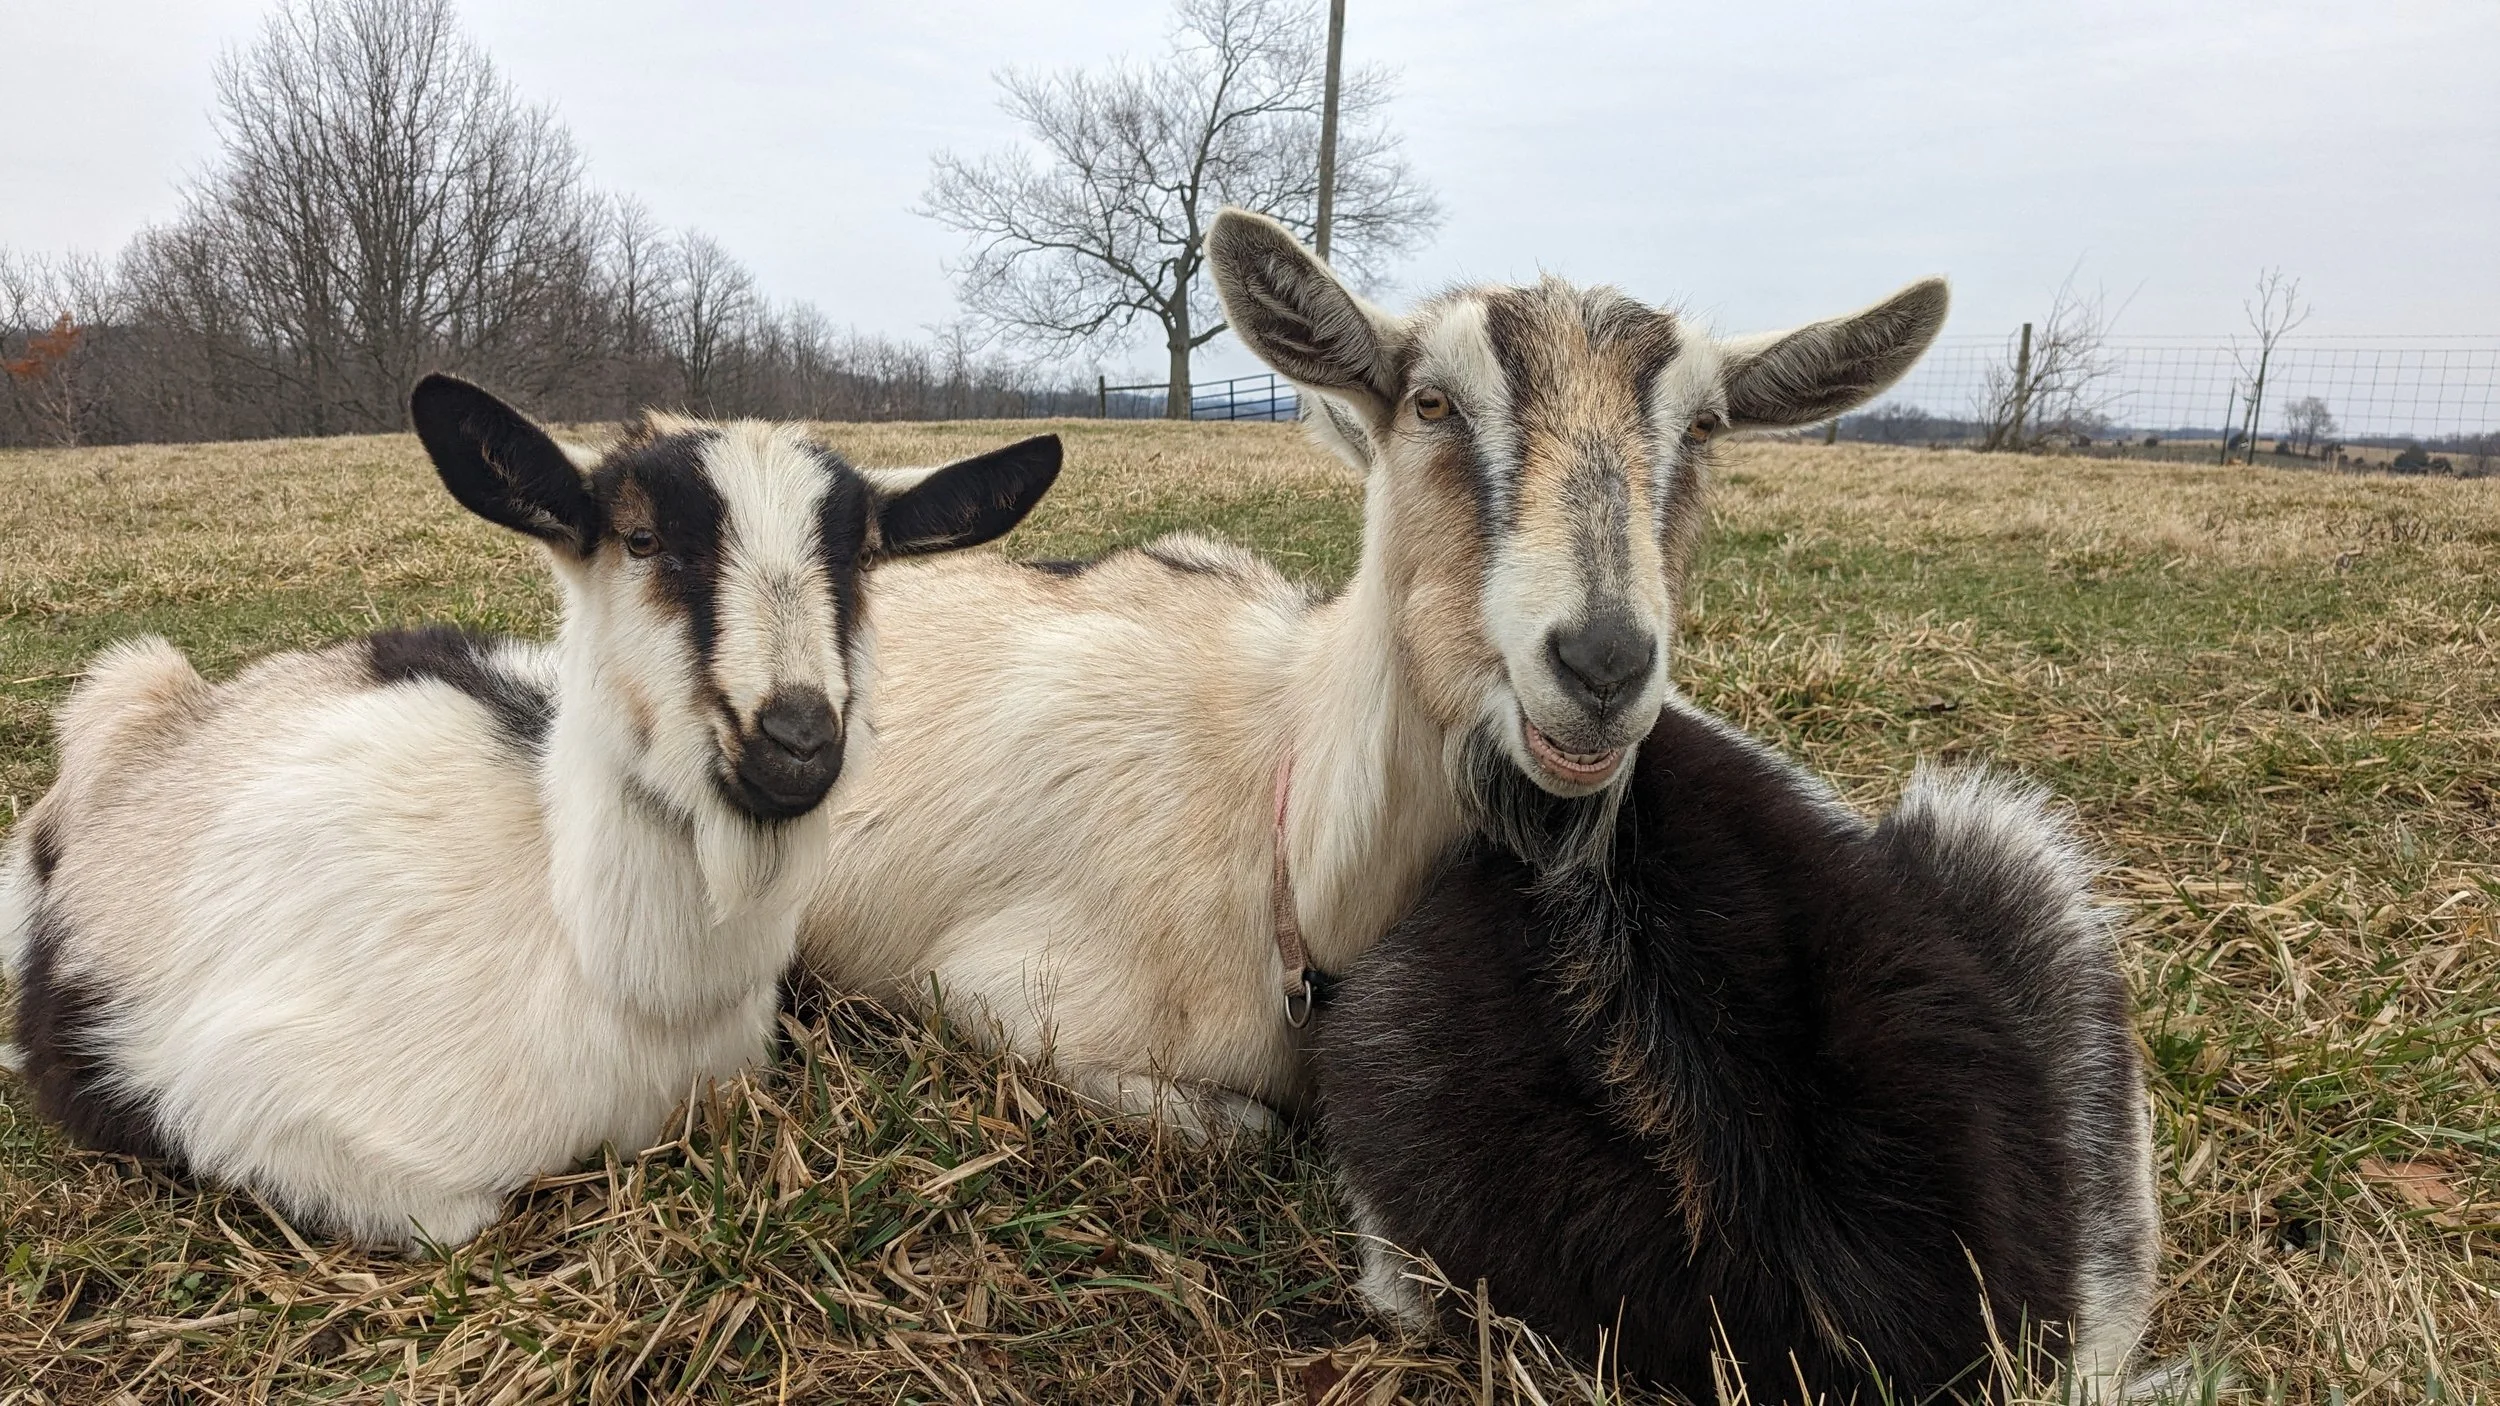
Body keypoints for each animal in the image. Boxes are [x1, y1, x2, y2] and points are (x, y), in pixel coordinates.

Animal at [0, 377, 1060, 1249]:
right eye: (641, 539)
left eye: (864, 561)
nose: (797, 739)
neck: (614, 979)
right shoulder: (257, 1106)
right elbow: (452, 1220)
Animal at [793, 210, 1949, 1135]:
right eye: (1432, 403)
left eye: (1704, 426)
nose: (1602, 662)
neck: (1280, 822)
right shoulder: (980, 991)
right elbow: (1240, 1129)